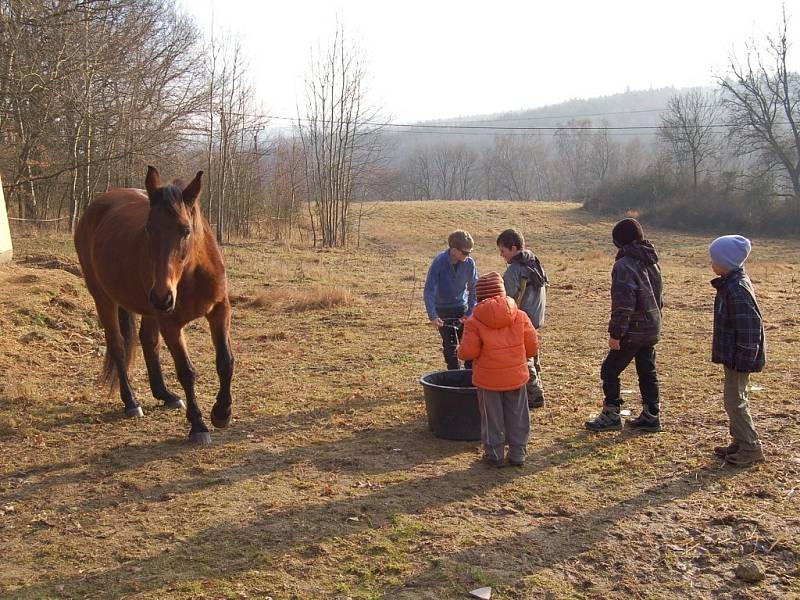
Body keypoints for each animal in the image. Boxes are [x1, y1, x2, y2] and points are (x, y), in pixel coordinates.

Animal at [75, 166, 234, 442]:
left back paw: (165, 395)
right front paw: (198, 425)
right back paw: (131, 402)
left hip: (149, 308)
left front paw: (222, 413)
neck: (192, 275)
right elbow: (186, 371)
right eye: (149, 229)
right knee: (117, 345)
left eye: (185, 230)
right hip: (104, 298)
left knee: (147, 340)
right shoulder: (170, 323)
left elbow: (225, 361)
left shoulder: (219, 310)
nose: (163, 296)